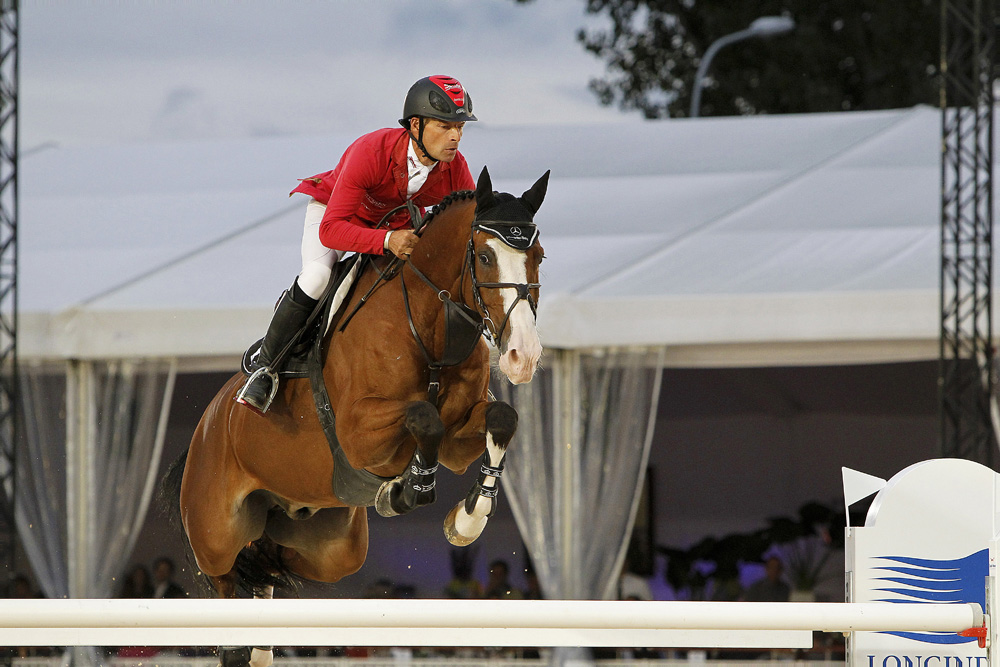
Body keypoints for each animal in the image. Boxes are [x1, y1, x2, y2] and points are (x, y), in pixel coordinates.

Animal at [165, 166, 552, 664]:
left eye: (538, 256)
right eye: (485, 256)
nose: (524, 357)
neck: (429, 323)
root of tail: (204, 428)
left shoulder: (459, 437)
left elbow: (500, 418)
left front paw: (465, 519)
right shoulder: (359, 432)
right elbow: (423, 416)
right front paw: (410, 487)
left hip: (330, 545)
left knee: (268, 564)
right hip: (216, 536)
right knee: (229, 579)